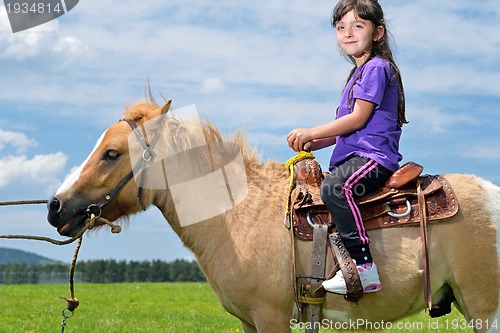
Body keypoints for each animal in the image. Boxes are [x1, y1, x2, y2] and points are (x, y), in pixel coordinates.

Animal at [47, 99, 500, 332]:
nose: (55, 206)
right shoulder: (250, 322)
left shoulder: (272, 318)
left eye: (111, 154)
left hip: (484, 309)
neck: (236, 217)